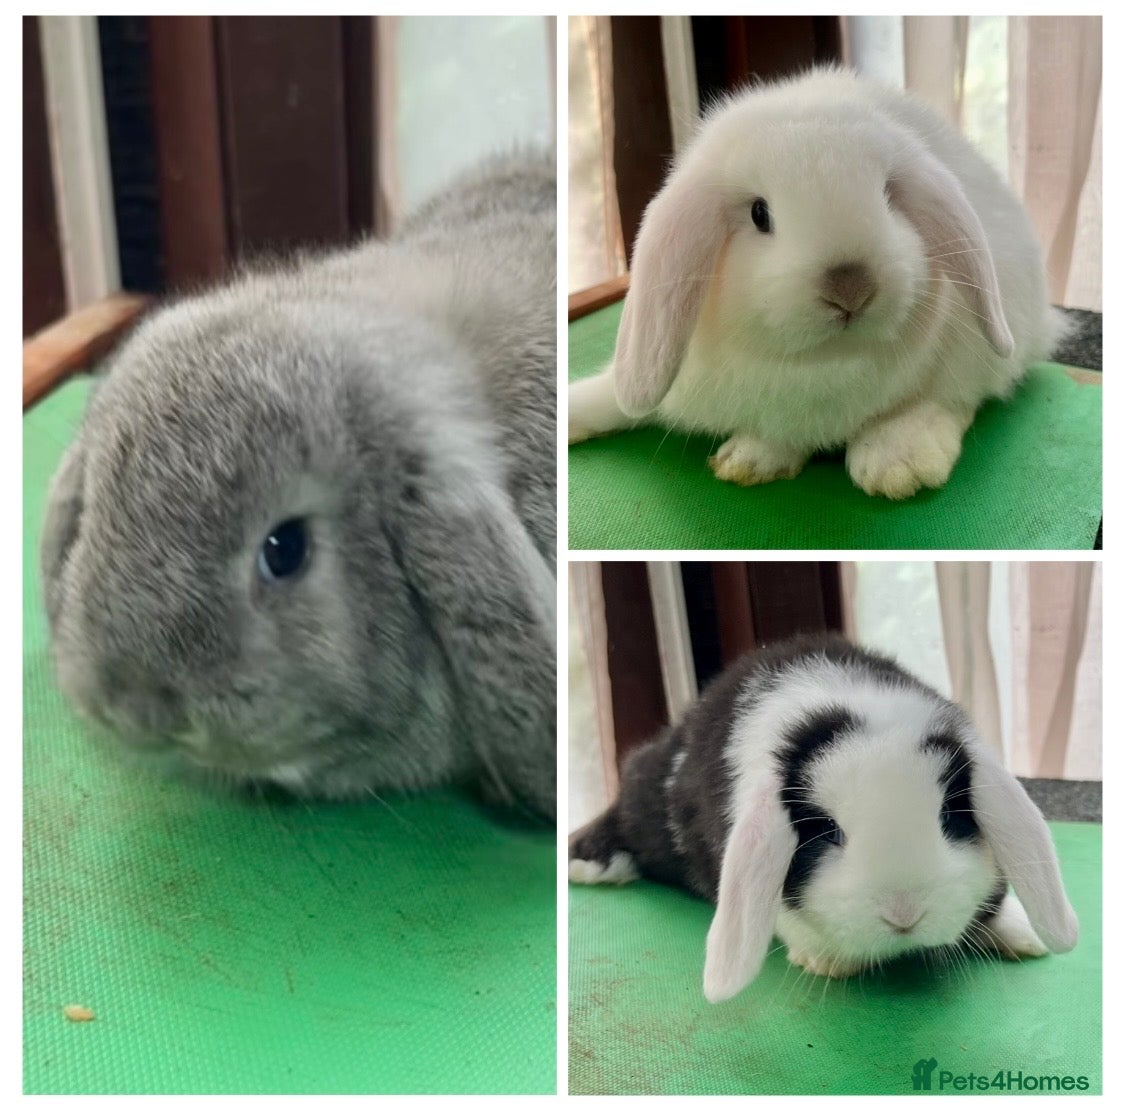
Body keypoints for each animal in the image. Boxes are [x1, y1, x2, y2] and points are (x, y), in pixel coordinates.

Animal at [568, 67, 1066, 499]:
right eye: (759, 213)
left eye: (888, 196)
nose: (851, 287)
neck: (825, 363)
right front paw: (751, 459)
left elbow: (943, 398)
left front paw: (892, 461)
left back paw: (897, 461)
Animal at [569, 634, 1078, 1002]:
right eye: (828, 831)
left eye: (950, 816)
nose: (904, 915)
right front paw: (830, 962)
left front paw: (1022, 935)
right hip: (645, 802)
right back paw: (589, 863)